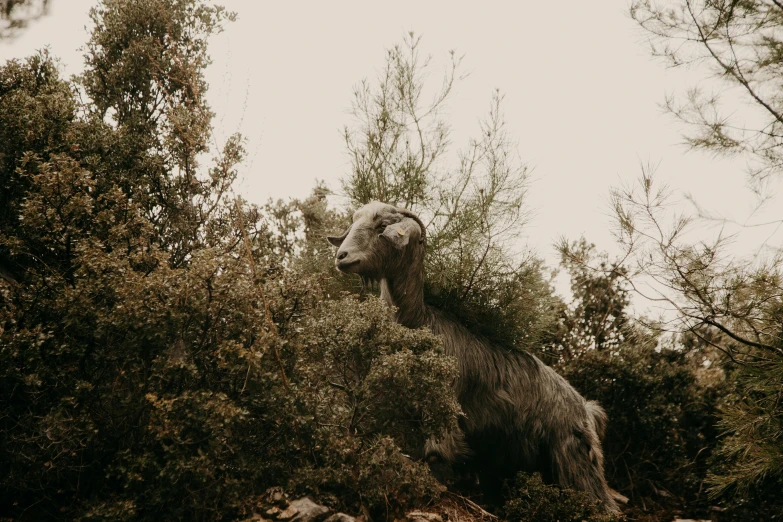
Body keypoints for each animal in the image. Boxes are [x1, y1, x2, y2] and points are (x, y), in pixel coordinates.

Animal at [330, 201, 620, 510]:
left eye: (382, 226)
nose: (342, 256)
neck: (418, 322)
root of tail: (586, 408)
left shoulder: (445, 410)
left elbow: (436, 455)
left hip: (574, 455)